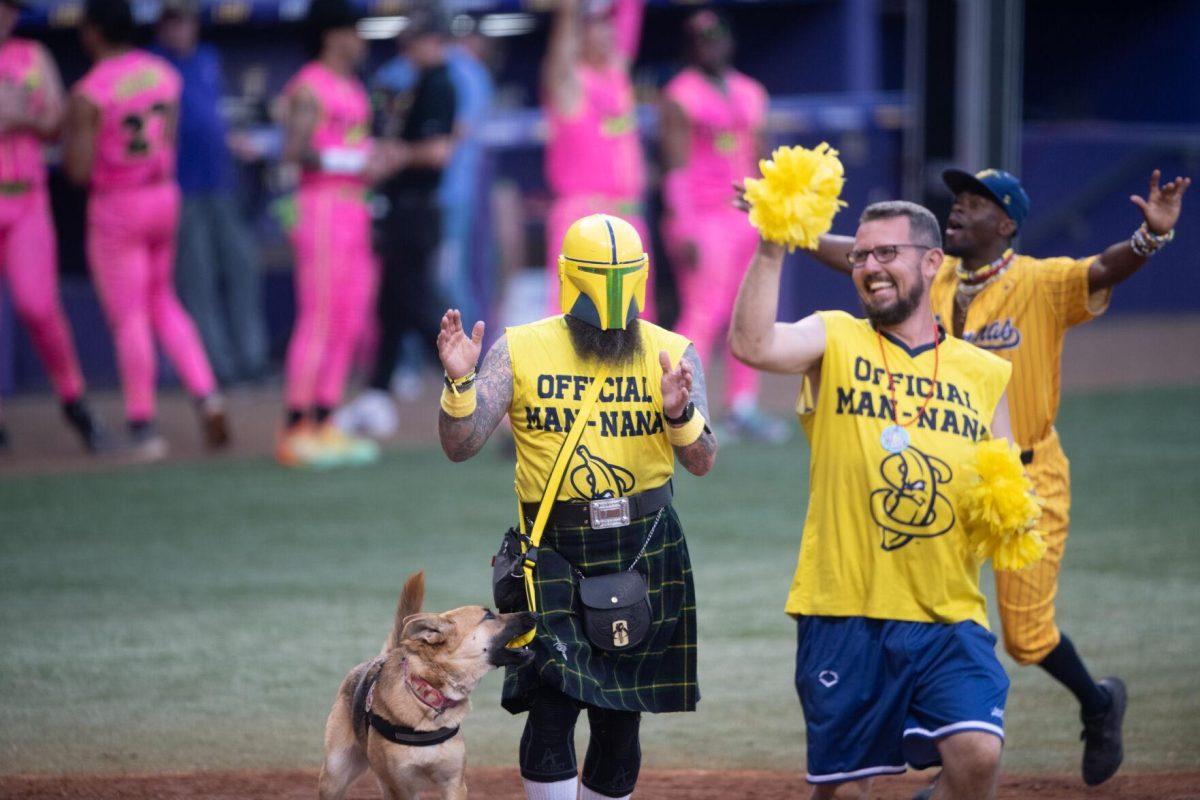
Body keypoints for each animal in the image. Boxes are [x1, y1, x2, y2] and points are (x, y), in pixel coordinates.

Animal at [319, 573, 535, 796]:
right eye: (489, 616)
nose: (534, 613)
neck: (428, 696)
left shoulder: (454, 784)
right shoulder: (402, 788)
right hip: (334, 778)